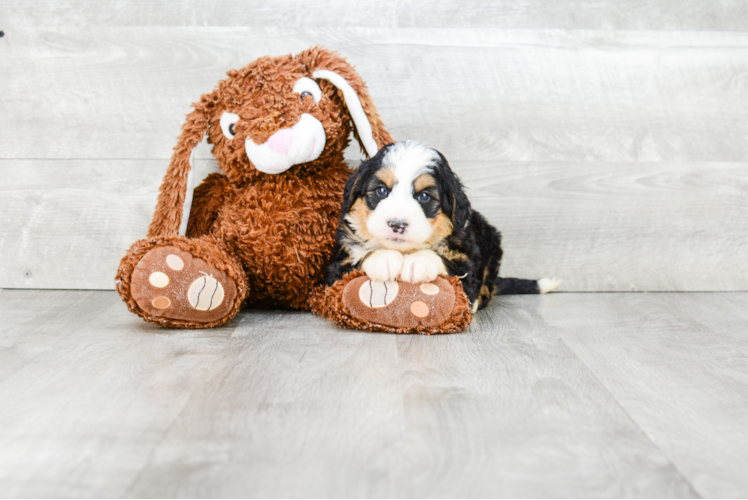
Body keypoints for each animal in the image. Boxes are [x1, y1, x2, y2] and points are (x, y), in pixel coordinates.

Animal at [324, 142, 560, 312]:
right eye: (381, 190)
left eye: (424, 196)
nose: (397, 224)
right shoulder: (333, 270)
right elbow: (357, 257)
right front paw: (385, 259)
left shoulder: (465, 264)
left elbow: (448, 263)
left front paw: (417, 263)